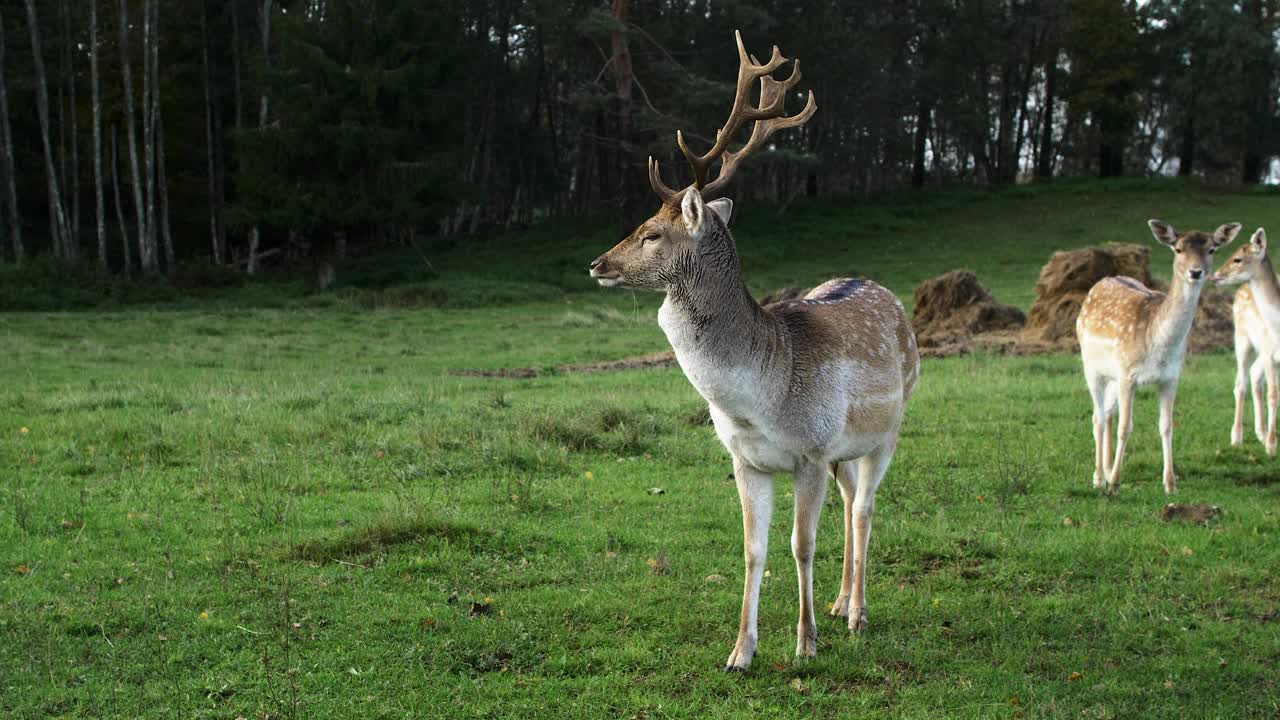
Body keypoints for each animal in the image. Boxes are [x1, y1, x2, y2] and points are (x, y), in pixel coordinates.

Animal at [588, 30, 921, 671]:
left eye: (651, 232)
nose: (597, 263)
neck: (757, 399)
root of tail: (882, 290)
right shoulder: (746, 459)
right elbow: (752, 549)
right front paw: (740, 651)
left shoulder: (811, 452)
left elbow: (801, 545)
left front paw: (805, 644)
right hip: (844, 450)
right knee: (851, 500)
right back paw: (840, 604)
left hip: (887, 432)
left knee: (864, 508)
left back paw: (857, 613)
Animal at [1075, 220, 1244, 491]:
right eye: (1178, 249)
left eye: (1211, 250)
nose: (1195, 272)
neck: (1158, 347)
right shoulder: (1128, 374)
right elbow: (1125, 427)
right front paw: (1115, 484)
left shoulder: (1170, 377)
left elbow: (1166, 426)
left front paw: (1170, 484)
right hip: (1092, 367)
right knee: (1098, 417)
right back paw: (1100, 478)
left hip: (1112, 376)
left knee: (1108, 413)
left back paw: (1108, 469)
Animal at [1203, 226, 1274, 450]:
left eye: (1238, 259)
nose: (1214, 275)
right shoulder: (1270, 353)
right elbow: (1274, 394)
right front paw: (1272, 446)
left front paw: (1270, 442)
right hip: (1242, 340)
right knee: (1240, 383)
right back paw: (1237, 437)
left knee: (1254, 374)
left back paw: (1261, 434)